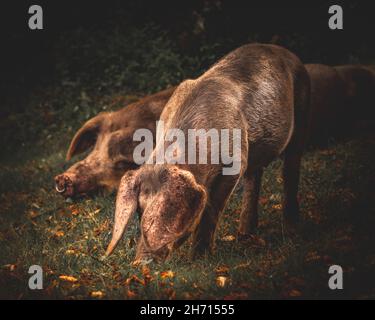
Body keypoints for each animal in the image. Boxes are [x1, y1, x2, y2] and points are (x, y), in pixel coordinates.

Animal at [103, 43, 312, 262]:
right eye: (140, 211)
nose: (140, 262)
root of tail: (283, 51)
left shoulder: (235, 164)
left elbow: (212, 208)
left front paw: (198, 259)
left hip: (303, 109)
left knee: (290, 169)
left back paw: (291, 230)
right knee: (254, 179)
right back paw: (244, 235)